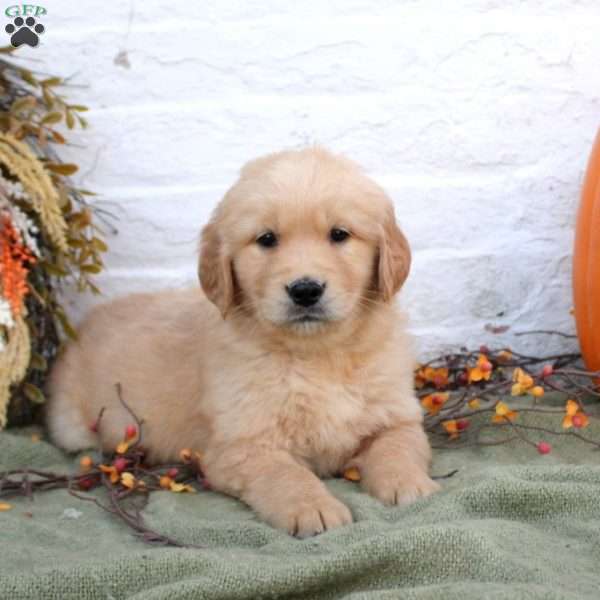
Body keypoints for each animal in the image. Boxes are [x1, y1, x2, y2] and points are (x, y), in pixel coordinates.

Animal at [47, 148, 438, 536]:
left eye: (339, 234)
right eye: (266, 239)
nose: (305, 290)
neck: (315, 354)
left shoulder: (397, 416)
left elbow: (399, 446)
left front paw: (409, 484)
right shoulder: (241, 446)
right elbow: (285, 474)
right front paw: (314, 507)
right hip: (73, 426)